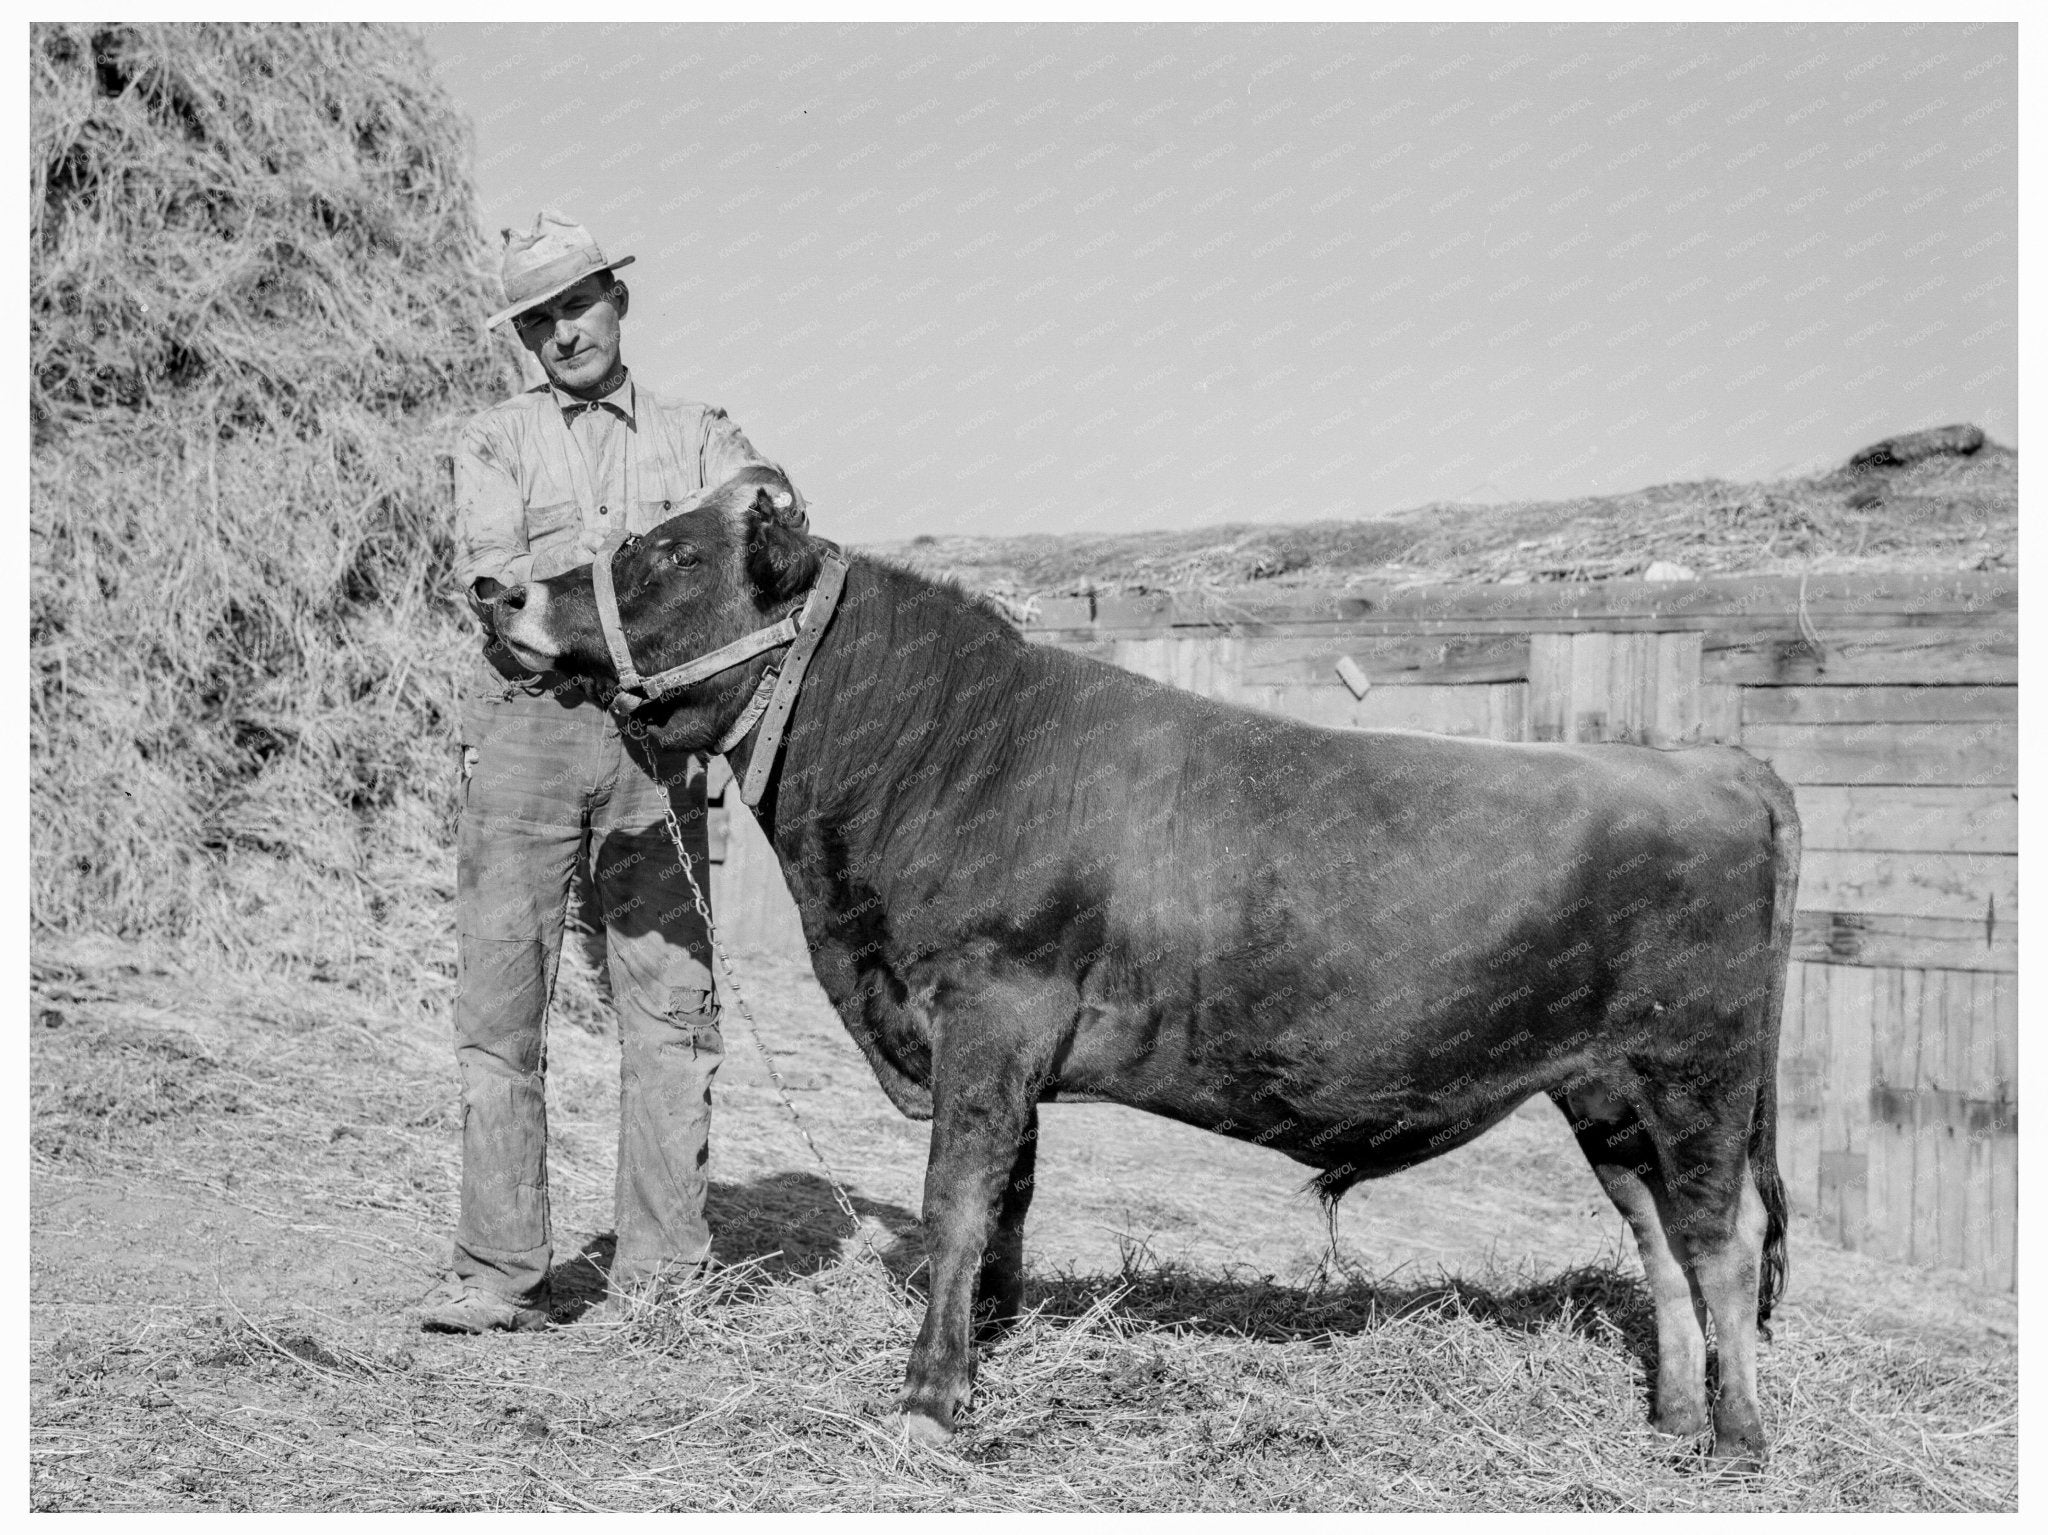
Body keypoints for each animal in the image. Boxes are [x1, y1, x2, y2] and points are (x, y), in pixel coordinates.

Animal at [491, 468, 1794, 1465]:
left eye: (664, 552)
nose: (496, 586)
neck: (945, 749)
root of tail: (1712, 762)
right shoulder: (1002, 1049)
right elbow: (1005, 1200)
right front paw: (984, 1346)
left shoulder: (988, 1013)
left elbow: (954, 1200)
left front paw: (927, 1398)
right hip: (1605, 1092)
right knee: (1659, 1243)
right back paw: (1674, 1420)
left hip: (1696, 1073)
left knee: (1719, 1242)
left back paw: (1736, 1435)